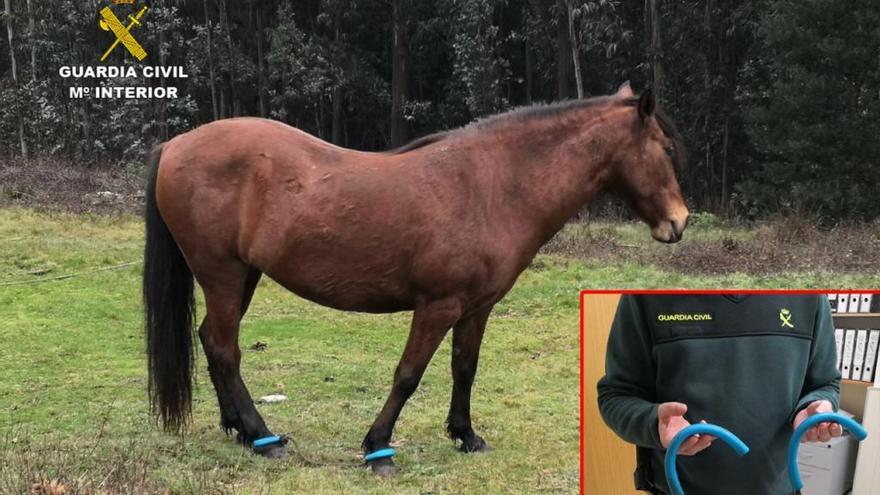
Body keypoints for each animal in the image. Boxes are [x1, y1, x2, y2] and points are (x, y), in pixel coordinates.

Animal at [142, 82, 689, 476]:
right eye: (666, 148)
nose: (679, 222)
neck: (494, 186)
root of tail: (176, 145)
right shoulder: (437, 306)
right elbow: (408, 375)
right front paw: (377, 448)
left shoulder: (477, 307)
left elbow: (464, 368)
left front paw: (466, 436)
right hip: (223, 275)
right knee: (224, 348)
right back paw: (261, 437)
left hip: (243, 276)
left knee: (212, 341)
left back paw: (239, 429)